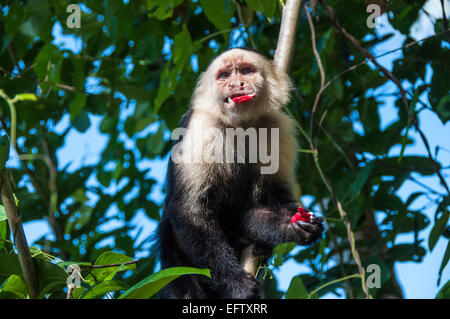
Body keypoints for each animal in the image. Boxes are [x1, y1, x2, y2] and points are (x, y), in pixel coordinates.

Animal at [156, 47, 326, 300]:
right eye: (225, 75)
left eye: (246, 71)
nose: (236, 84)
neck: (241, 125)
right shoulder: (201, 127)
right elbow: (190, 209)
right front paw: (235, 283)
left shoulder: (278, 125)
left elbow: (275, 194)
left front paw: (292, 225)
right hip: (175, 260)